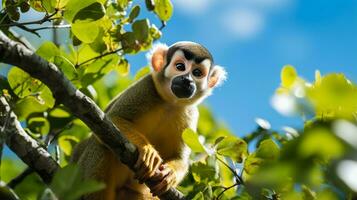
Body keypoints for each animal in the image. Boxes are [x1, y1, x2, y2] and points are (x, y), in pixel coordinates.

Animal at [71, 41, 227, 199]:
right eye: (180, 67)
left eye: (197, 73)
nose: (187, 80)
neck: (170, 103)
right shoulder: (145, 86)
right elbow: (113, 118)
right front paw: (146, 149)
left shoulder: (191, 114)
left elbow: (180, 157)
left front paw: (170, 173)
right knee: (100, 143)